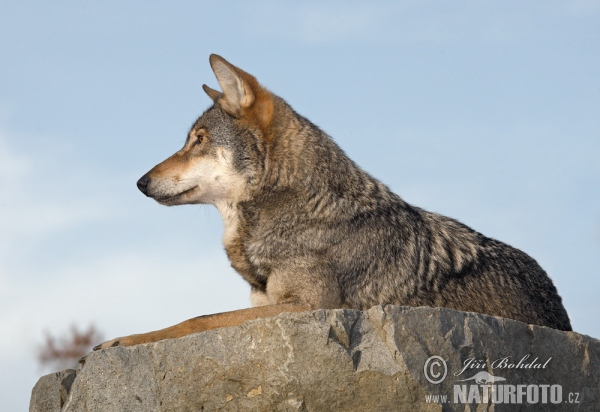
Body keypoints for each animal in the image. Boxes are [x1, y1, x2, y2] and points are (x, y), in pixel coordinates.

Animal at [94, 54, 572, 350]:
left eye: (198, 141)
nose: (140, 182)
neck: (294, 209)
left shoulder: (310, 307)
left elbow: (197, 319)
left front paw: (121, 341)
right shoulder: (265, 305)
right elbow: (202, 317)